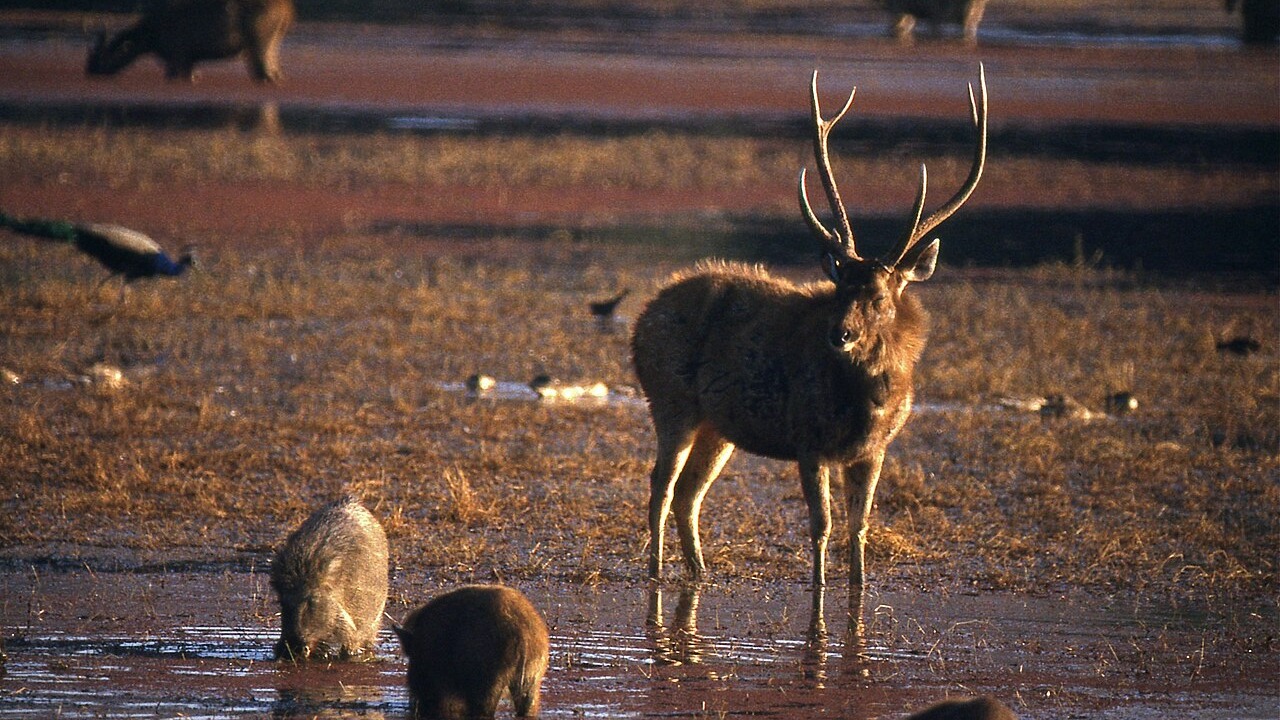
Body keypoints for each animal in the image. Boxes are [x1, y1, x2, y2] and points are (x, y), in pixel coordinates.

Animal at [86, 0, 294, 83]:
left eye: (103, 55)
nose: (90, 69)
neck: (151, 34)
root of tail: (287, 8)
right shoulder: (187, 60)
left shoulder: (177, 56)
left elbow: (176, 74)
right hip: (273, 40)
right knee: (272, 70)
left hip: (259, 42)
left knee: (263, 70)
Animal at [631, 66, 987, 615]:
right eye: (840, 286)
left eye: (880, 296)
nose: (839, 334)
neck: (868, 405)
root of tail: (639, 322)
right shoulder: (808, 440)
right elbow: (822, 525)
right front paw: (818, 598)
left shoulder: (874, 451)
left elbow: (860, 527)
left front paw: (859, 592)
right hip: (671, 400)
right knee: (661, 486)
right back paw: (657, 573)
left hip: (719, 425)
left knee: (690, 491)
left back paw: (701, 571)